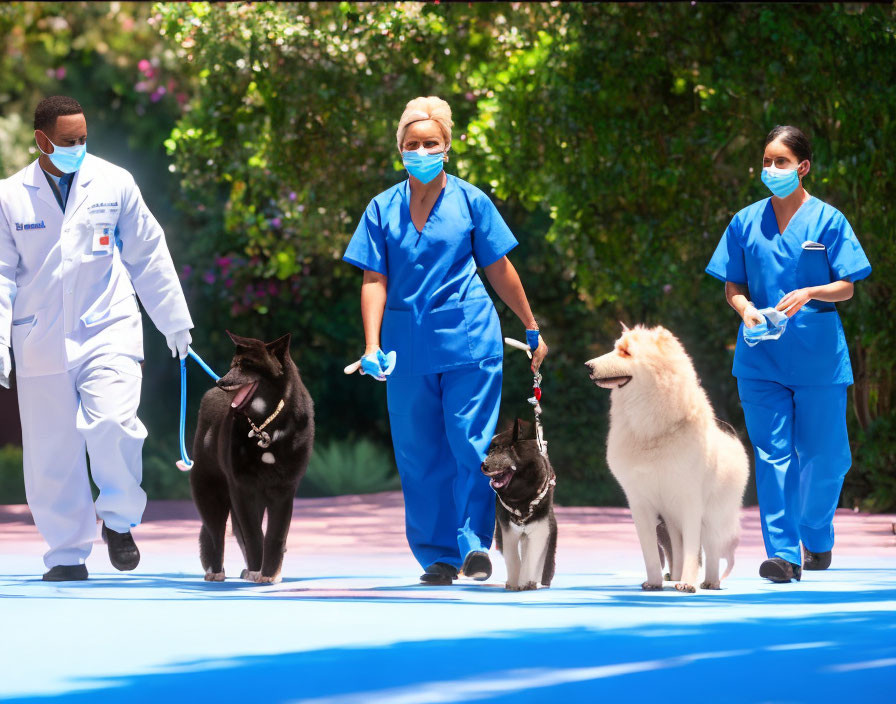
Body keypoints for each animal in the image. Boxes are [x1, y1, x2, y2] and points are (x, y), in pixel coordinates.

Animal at [189, 332, 316, 584]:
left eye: (246, 364)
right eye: (233, 365)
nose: (221, 382)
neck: (267, 425)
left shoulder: (284, 489)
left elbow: (275, 534)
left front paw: (269, 573)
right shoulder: (243, 488)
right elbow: (253, 533)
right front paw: (259, 569)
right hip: (210, 490)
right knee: (215, 531)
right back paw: (216, 570)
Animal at [484, 418, 552, 588]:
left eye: (502, 450)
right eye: (490, 451)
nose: (483, 466)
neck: (521, 496)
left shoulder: (539, 528)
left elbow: (531, 557)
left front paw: (525, 581)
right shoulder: (507, 530)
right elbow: (512, 557)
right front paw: (514, 582)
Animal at [584, 328, 752, 592]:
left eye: (626, 352)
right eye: (615, 348)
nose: (588, 366)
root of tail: (730, 432)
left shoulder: (691, 501)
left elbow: (694, 548)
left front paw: (688, 583)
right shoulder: (640, 502)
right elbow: (651, 552)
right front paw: (654, 582)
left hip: (714, 514)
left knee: (712, 548)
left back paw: (709, 582)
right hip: (672, 519)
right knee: (679, 547)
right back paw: (673, 576)